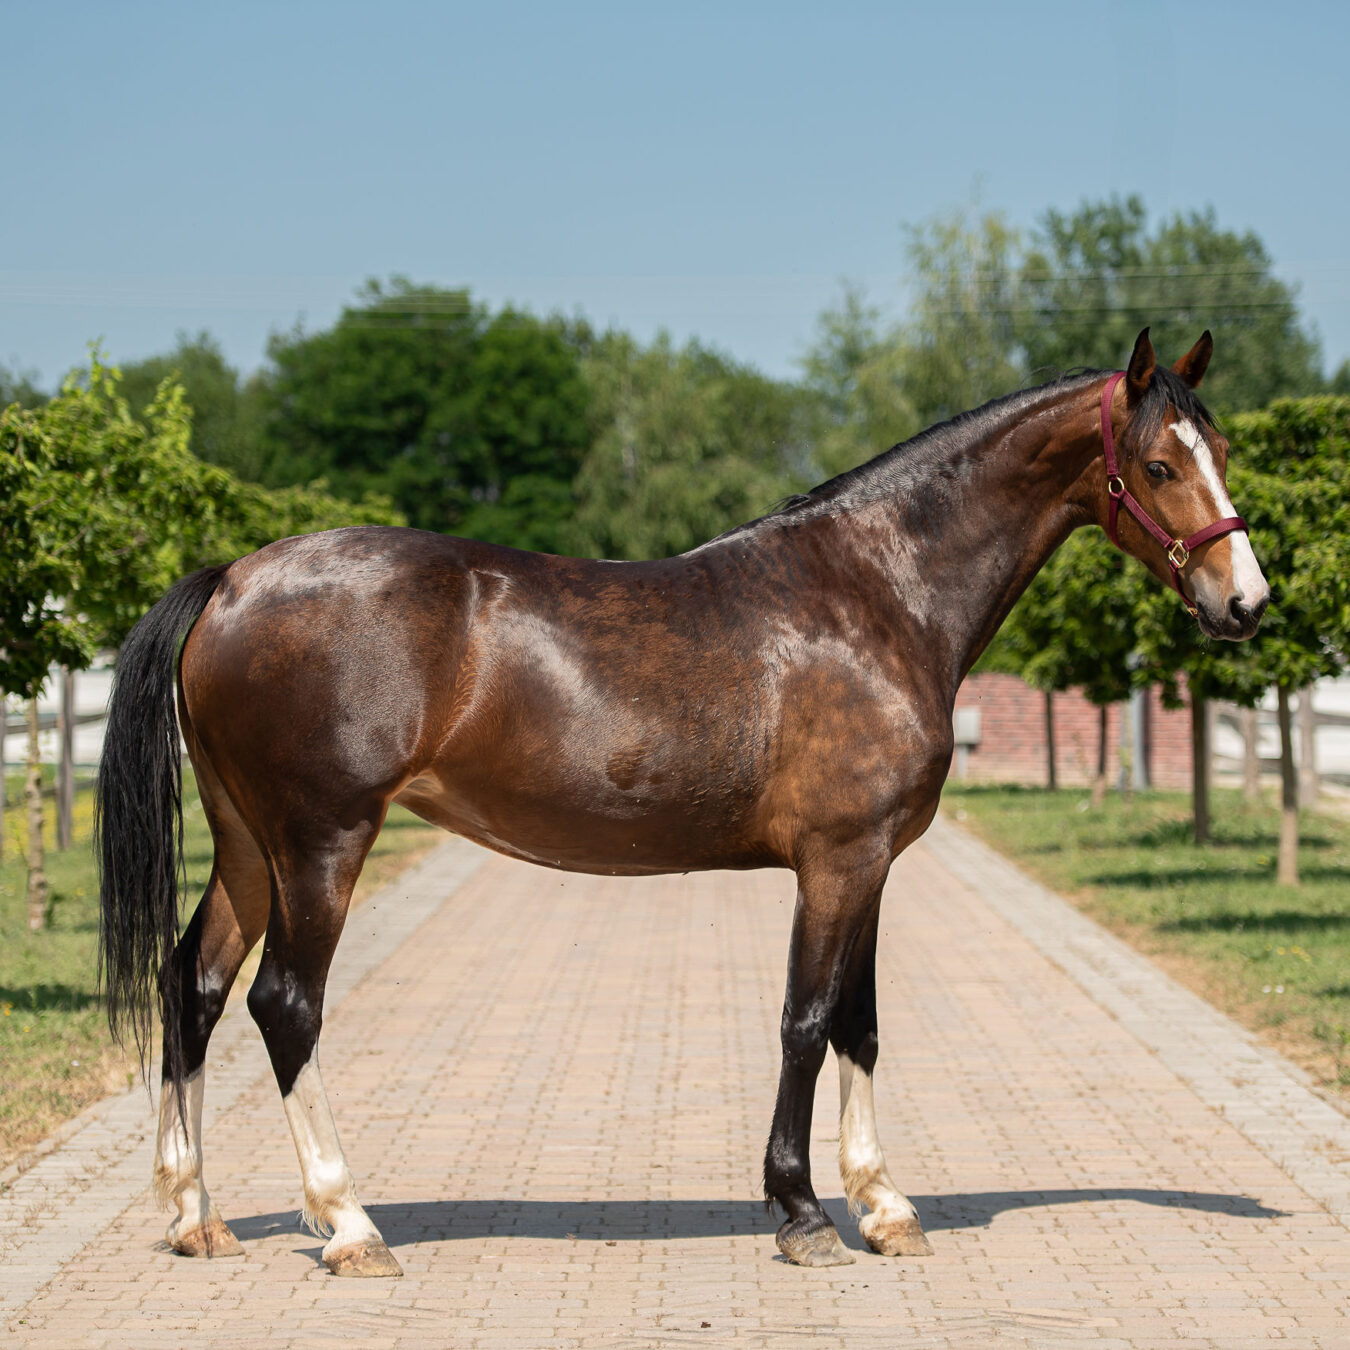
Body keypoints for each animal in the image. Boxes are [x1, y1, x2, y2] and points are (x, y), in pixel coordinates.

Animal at [96, 328, 1268, 1276]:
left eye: (1222, 451)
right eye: (1159, 463)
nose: (1245, 603)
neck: (877, 593)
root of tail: (234, 578)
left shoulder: (874, 863)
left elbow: (860, 1024)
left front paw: (885, 1206)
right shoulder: (838, 860)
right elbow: (806, 1021)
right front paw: (803, 1213)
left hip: (249, 847)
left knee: (193, 987)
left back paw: (194, 1216)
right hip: (322, 844)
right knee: (284, 1005)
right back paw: (348, 1225)